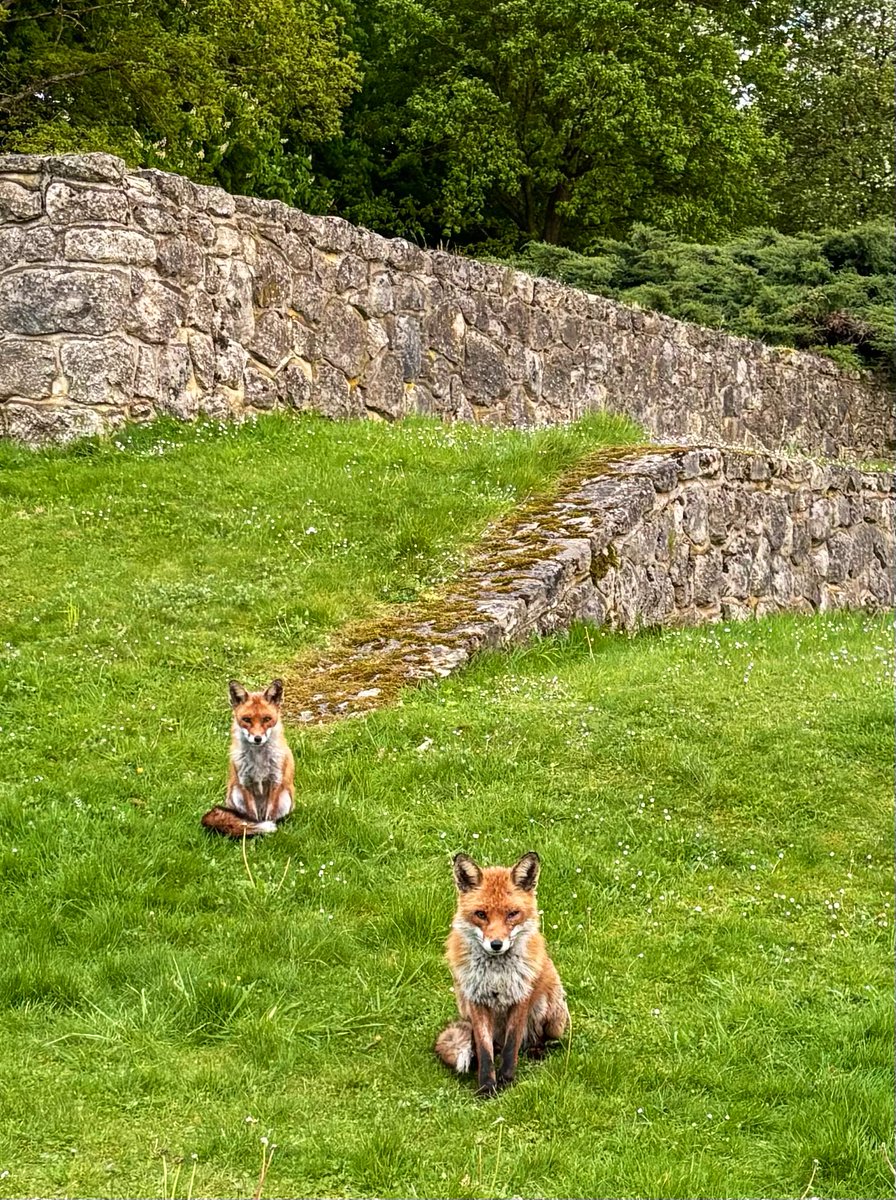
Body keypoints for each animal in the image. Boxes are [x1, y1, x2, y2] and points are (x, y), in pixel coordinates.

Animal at [201, 681, 296, 840]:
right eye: (246, 720)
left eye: (266, 719)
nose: (257, 738)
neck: (259, 759)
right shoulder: (246, 783)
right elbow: (251, 817)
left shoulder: (275, 781)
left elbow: (270, 815)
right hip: (235, 793)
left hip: (286, 797)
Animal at [434, 854, 568, 1099]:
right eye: (481, 914)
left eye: (512, 914)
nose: (496, 944)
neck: (496, 974)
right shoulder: (476, 1000)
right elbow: (485, 1050)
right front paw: (487, 1085)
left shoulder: (520, 996)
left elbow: (511, 1045)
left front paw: (506, 1080)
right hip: (464, 1007)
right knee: (488, 1045)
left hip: (552, 1011)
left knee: (536, 1039)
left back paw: (537, 1049)